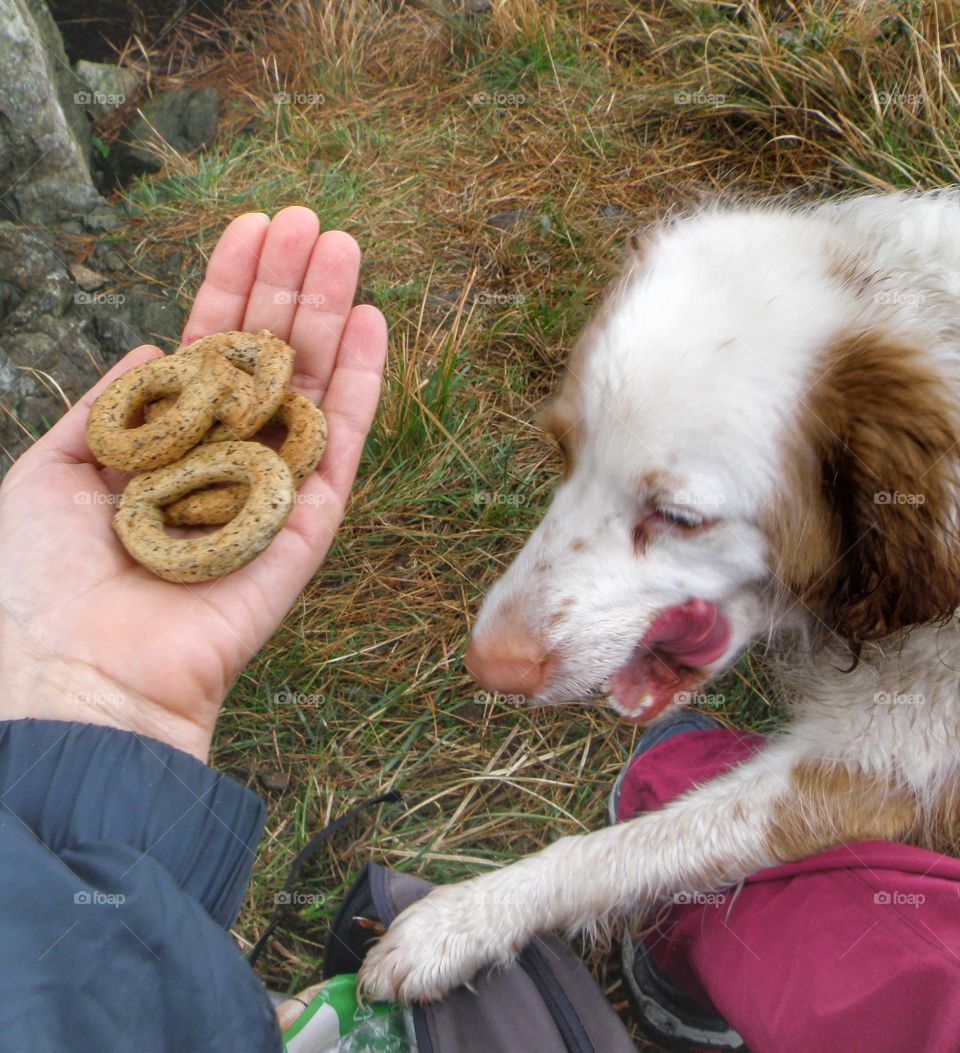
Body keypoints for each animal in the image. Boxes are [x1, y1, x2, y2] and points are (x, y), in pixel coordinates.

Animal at [357, 189, 960, 1002]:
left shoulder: (875, 767)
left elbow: (618, 849)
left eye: (678, 517)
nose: (487, 665)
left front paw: (460, 922)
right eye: (562, 452)